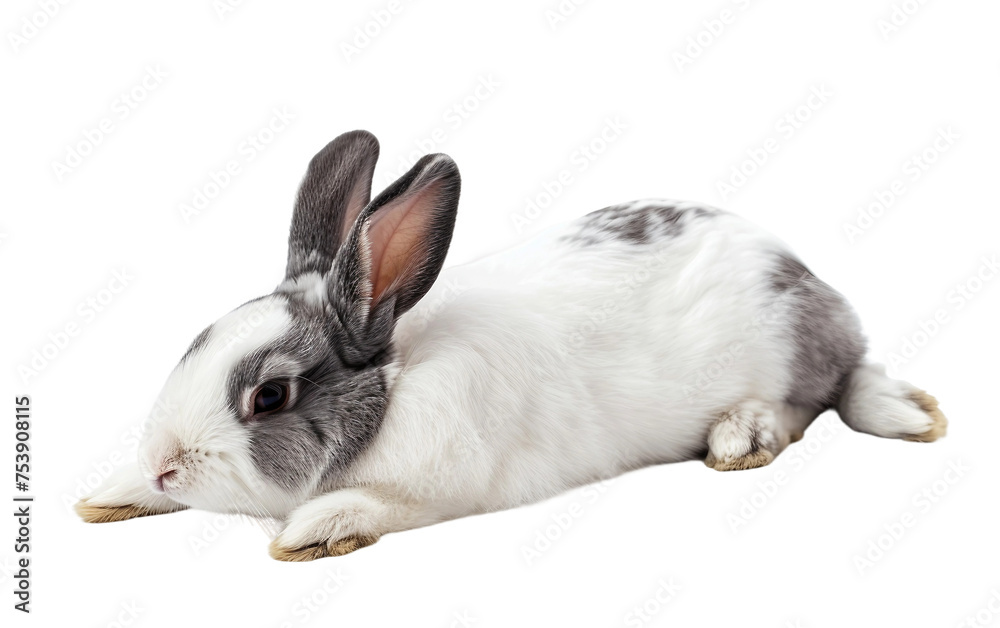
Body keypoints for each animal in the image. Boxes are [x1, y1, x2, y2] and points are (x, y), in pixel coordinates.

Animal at [76, 130, 948, 561]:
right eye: (194, 343)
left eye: (270, 396)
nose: (166, 462)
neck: (398, 378)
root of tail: (806, 279)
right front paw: (113, 492)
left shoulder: (441, 489)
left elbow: (375, 507)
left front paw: (315, 531)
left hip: (787, 353)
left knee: (822, 395)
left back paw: (746, 435)